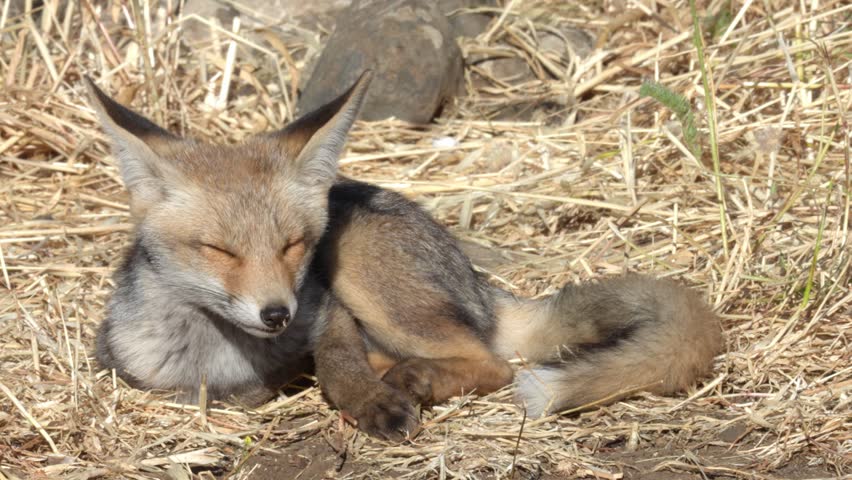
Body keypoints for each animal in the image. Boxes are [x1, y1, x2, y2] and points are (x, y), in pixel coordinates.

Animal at [89, 71, 723, 440]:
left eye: (293, 244)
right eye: (219, 249)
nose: (277, 314)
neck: (223, 354)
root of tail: (479, 286)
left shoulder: (329, 312)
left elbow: (335, 365)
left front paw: (368, 401)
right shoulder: (136, 372)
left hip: (362, 266)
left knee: (492, 363)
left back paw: (412, 378)